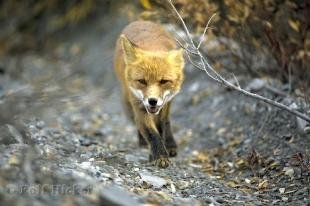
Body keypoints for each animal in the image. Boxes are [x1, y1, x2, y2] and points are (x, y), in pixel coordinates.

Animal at [114, 20, 184, 168]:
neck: (152, 47)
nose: (152, 101)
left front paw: (161, 151)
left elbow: (162, 126)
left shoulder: (163, 105)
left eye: (164, 81)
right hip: (128, 99)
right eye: (142, 81)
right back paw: (143, 142)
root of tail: (140, 21)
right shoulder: (139, 105)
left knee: (166, 121)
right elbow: (151, 133)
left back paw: (170, 144)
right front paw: (159, 156)